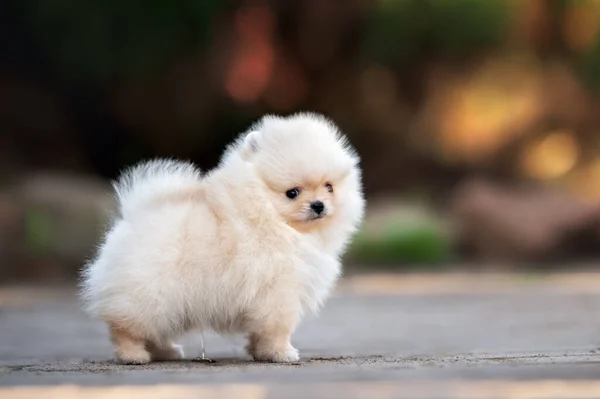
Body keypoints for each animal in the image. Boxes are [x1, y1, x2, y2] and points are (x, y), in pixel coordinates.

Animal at [81, 111, 366, 364]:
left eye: (329, 187)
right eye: (292, 193)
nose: (318, 205)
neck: (270, 218)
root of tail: (133, 215)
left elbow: (260, 332)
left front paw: (260, 352)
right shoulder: (279, 293)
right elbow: (277, 329)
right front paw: (282, 353)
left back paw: (166, 351)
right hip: (150, 293)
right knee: (126, 327)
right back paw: (133, 355)